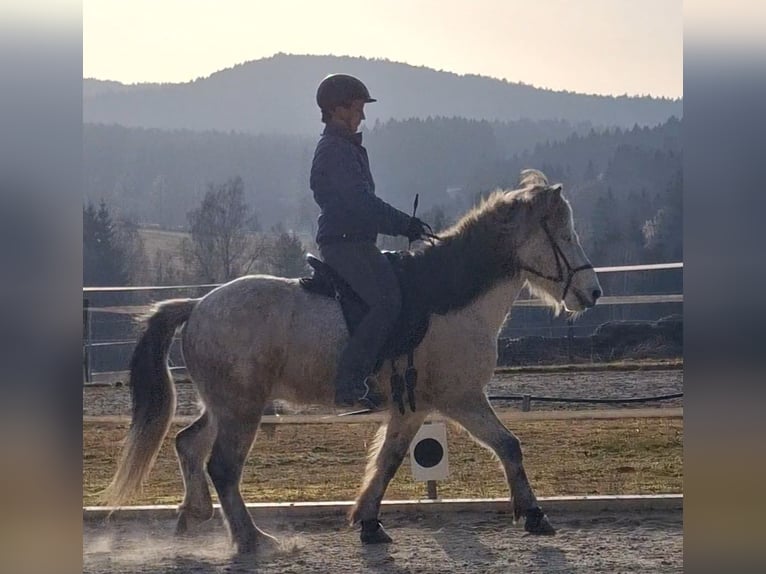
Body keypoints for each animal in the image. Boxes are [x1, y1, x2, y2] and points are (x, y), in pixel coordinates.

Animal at [100, 169, 602, 554]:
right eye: (564, 235)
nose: (592, 292)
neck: (446, 299)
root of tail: (199, 305)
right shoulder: (453, 399)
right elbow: (485, 447)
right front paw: (534, 515)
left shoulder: (420, 406)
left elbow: (401, 457)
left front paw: (369, 522)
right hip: (242, 410)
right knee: (222, 467)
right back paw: (252, 539)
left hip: (226, 405)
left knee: (188, 443)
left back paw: (194, 515)